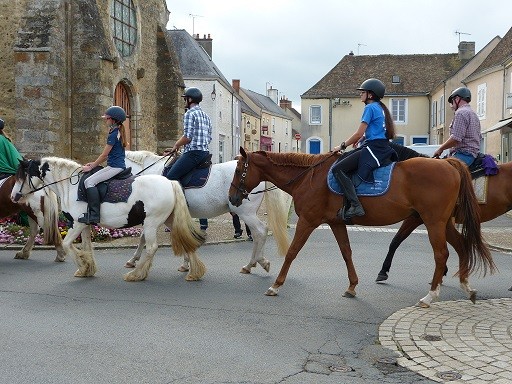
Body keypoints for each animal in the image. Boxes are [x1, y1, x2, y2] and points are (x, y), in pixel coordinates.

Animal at [229, 148, 496, 308]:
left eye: (238, 170)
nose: (232, 198)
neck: (309, 177)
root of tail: (449, 164)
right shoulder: (336, 223)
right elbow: (346, 252)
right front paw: (352, 287)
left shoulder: (308, 221)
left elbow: (293, 252)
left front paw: (276, 285)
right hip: (441, 222)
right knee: (461, 246)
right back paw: (466, 286)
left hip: (434, 222)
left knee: (441, 255)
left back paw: (431, 295)